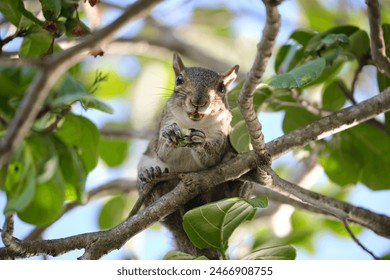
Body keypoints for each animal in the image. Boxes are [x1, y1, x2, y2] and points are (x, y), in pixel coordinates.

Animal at [137, 53, 253, 260]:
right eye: (179, 79)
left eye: (222, 88)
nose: (198, 101)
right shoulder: (165, 120)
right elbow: (162, 151)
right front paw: (170, 135)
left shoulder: (222, 133)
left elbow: (212, 157)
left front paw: (200, 141)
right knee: (166, 215)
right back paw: (152, 181)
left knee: (231, 194)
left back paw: (236, 184)